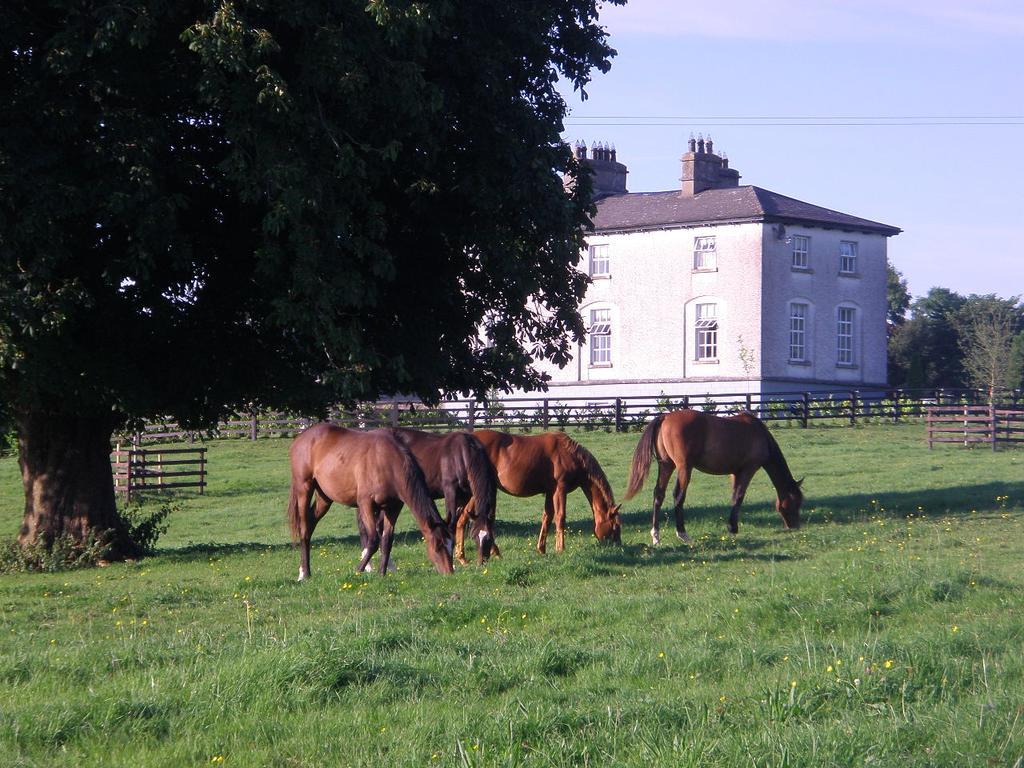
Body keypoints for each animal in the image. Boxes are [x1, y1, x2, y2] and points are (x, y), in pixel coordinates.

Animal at [284, 423, 452, 581]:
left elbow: (387, 540)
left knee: (310, 524)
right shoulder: (366, 504)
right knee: (304, 529)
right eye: (438, 546)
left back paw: (305, 570)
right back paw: (304, 573)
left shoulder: (393, 507)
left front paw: (381, 573)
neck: (388, 462)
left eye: (452, 544)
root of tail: (301, 436)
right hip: (304, 488)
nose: (450, 572)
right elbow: (373, 540)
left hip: (324, 497)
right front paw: (359, 570)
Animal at [389, 428, 497, 565]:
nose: (482, 561)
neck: (462, 454)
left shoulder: (465, 496)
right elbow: (451, 524)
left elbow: (458, 522)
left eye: (489, 537)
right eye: (474, 536)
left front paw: (462, 559)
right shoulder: (450, 492)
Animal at [468, 430, 618, 557]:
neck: (570, 455)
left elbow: (547, 517)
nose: (618, 546)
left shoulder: (550, 492)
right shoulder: (560, 489)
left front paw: (541, 549)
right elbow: (560, 517)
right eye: (615, 526)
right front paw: (560, 549)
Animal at [618, 411, 802, 544]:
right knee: (678, 497)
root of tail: (666, 416)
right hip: (684, 468)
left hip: (666, 465)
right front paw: (733, 528)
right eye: (796, 502)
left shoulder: (734, 473)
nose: (795, 527)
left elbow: (734, 497)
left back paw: (656, 536)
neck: (759, 434)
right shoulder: (748, 470)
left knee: (658, 495)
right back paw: (683, 534)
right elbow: (739, 497)